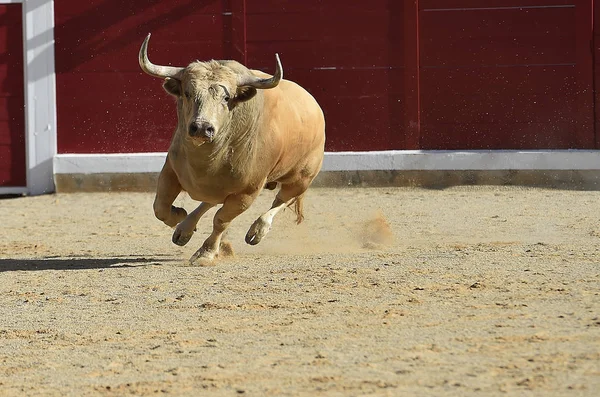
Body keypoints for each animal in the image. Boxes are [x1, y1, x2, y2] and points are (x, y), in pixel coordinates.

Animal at [138, 33, 326, 262]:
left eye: (227, 98)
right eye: (188, 93)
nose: (202, 127)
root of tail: (314, 105)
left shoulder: (247, 192)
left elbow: (221, 220)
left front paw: (206, 253)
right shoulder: (171, 171)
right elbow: (160, 207)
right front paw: (179, 217)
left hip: (303, 177)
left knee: (282, 199)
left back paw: (257, 231)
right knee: (211, 201)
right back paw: (184, 228)